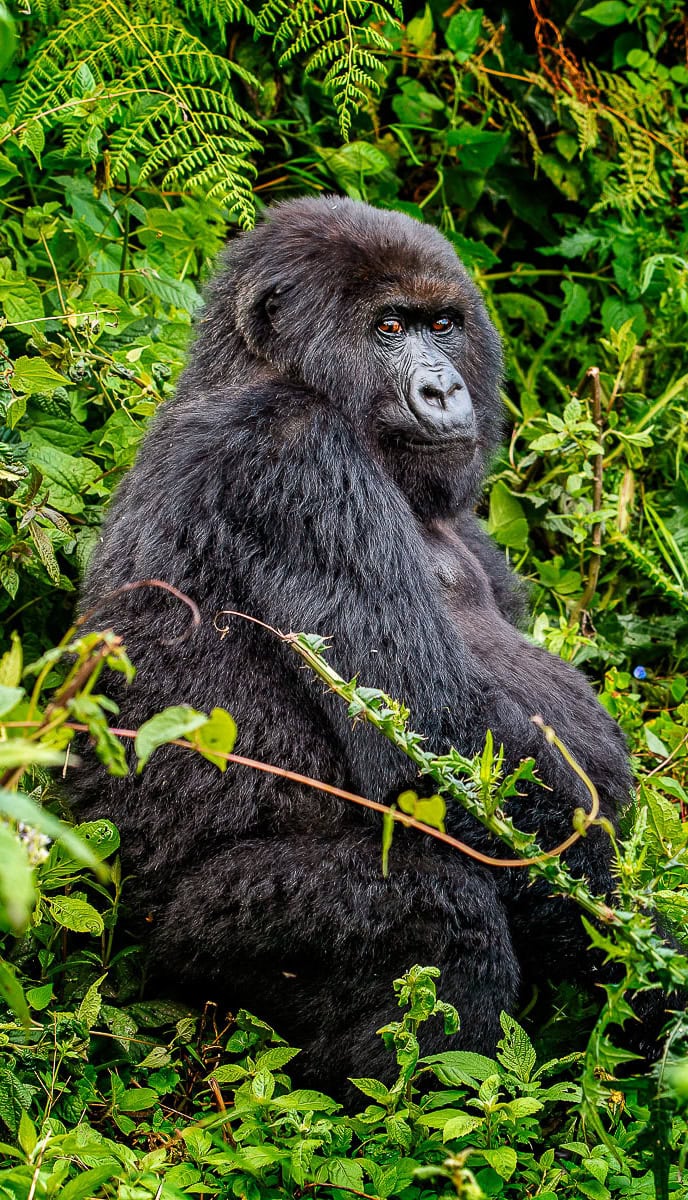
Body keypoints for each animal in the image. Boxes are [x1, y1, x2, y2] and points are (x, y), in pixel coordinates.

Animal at [75, 199, 633, 1099]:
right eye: (388, 329)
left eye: (442, 325)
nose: (442, 387)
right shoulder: (292, 457)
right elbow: (433, 745)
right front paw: (640, 952)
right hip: (174, 947)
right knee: (437, 908)